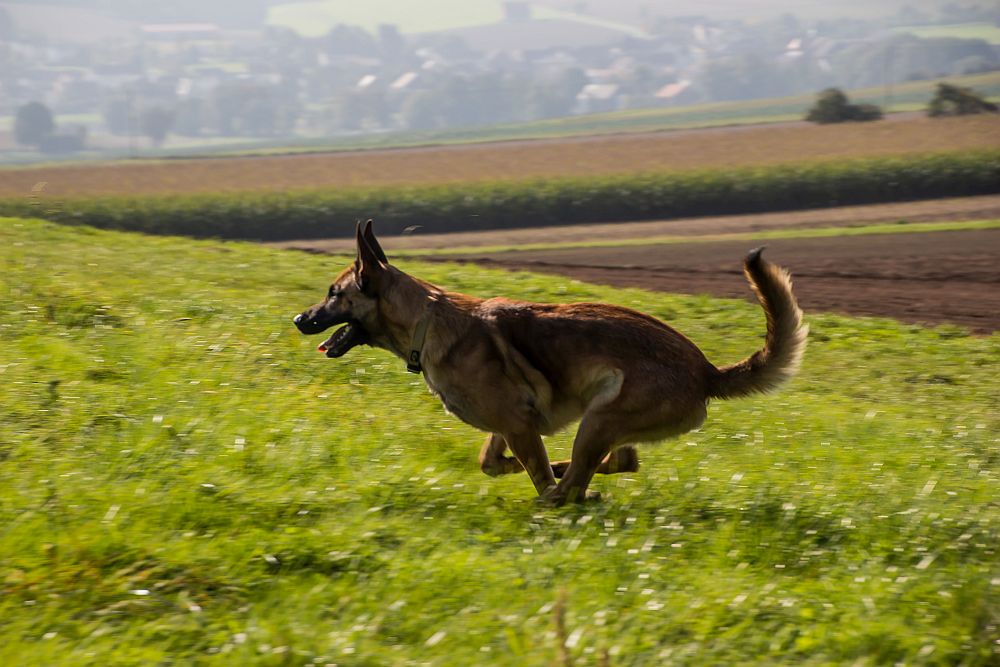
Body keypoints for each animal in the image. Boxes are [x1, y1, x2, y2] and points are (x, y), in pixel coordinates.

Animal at [292, 222, 808, 504]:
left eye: (334, 294)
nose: (299, 319)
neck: (427, 321)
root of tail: (706, 370)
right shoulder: (511, 425)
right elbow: (492, 463)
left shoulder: (517, 424)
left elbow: (534, 472)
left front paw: (548, 483)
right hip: (603, 423)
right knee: (618, 461)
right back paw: (577, 483)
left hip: (600, 418)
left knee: (575, 484)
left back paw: (567, 497)